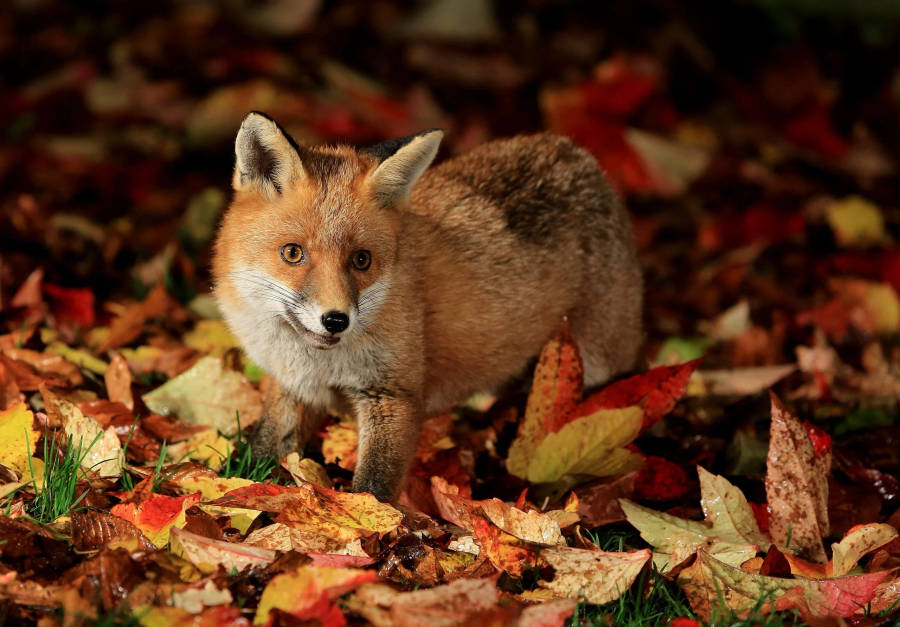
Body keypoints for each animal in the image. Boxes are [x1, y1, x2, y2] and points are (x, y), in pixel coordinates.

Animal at [212, 111, 643, 502]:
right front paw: (239, 487)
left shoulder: (394, 395)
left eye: (362, 260)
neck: (319, 363)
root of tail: (577, 154)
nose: (336, 320)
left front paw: (370, 528)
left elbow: (374, 487)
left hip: (598, 365)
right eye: (292, 253)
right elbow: (263, 448)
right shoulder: (291, 386)